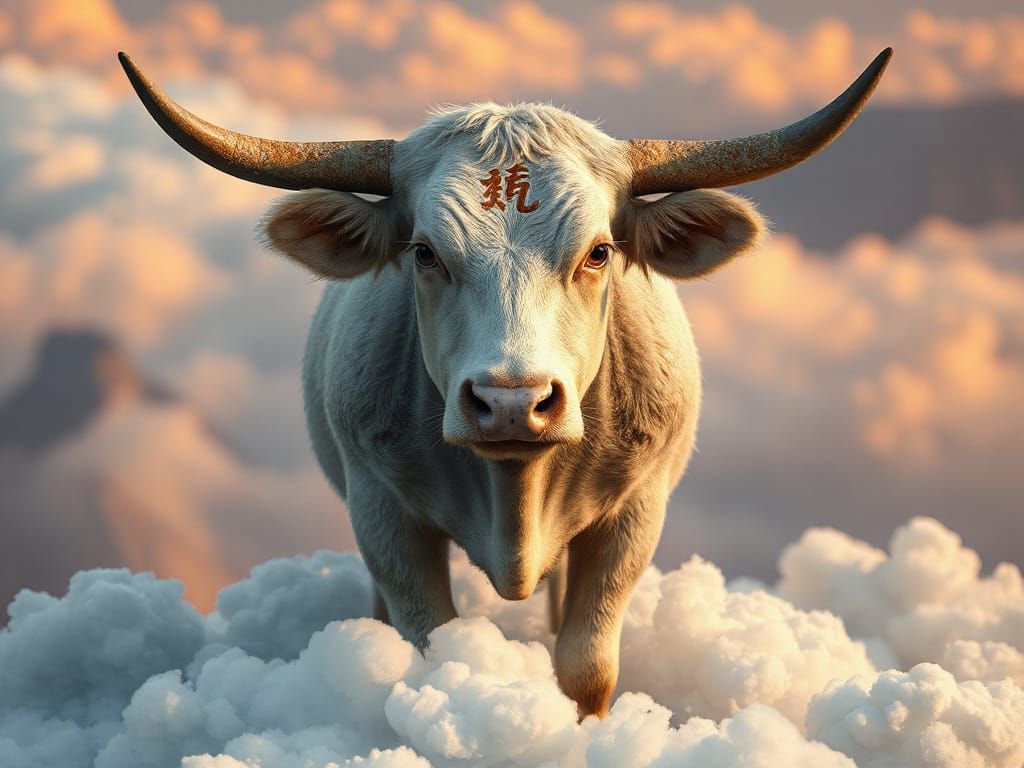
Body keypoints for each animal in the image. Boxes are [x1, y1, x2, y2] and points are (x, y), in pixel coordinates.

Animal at [120, 48, 891, 717]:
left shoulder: (635, 514)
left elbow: (586, 665)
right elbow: (428, 647)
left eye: (598, 251)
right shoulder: (383, 513)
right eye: (424, 252)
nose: (511, 403)